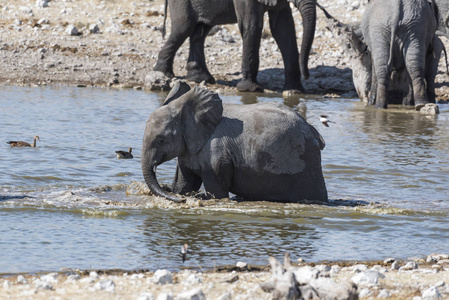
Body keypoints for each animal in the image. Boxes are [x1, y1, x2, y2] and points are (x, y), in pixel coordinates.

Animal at [142, 81, 328, 202]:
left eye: (161, 140)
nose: (179, 200)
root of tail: (313, 132)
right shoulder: (190, 147)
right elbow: (185, 183)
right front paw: (181, 193)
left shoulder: (214, 149)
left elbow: (217, 191)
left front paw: (202, 197)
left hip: (305, 159)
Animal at [152, 0, 316, 92]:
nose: (307, 76)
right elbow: (252, 26)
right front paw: (249, 90)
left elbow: (283, 28)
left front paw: (294, 92)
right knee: (183, 29)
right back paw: (163, 74)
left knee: (200, 31)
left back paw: (201, 79)